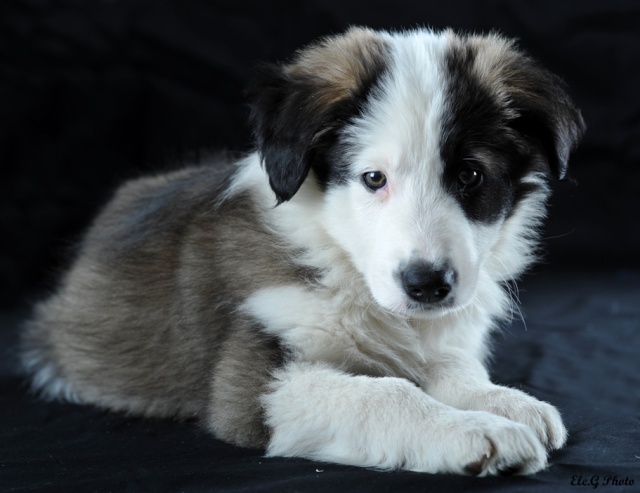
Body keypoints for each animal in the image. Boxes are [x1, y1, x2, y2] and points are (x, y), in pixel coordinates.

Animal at [22, 26, 584, 472]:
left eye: (470, 175)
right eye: (373, 178)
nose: (427, 286)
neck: (343, 264)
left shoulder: (441, 338)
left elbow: (452, 369)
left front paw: (502, 401)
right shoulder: (252, 388)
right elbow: (385, 393)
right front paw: (476, 431)